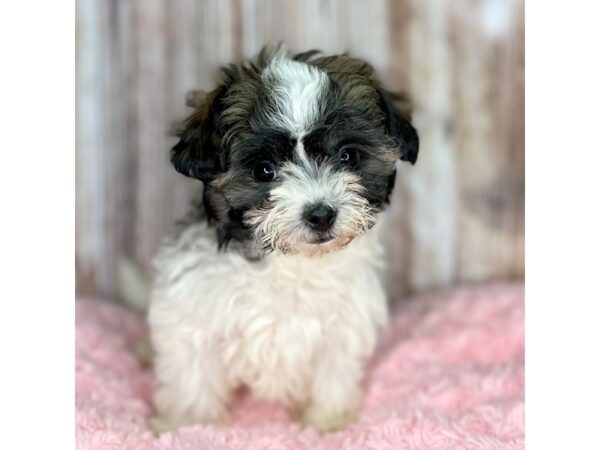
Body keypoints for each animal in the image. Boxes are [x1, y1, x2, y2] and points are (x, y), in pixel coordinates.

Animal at [148, 46, 420, 432]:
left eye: (348, 156)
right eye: (265, 170)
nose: (320, 214)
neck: (292, 262)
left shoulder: (343, 325)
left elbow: (333, 372)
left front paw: (327, 422)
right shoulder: (193, 312)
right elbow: (192, 374)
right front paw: (190, 424)